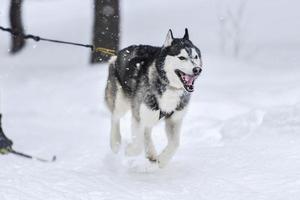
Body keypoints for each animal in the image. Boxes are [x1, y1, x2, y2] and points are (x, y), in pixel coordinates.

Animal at [104, 28, 203, 167]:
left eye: (195, 56)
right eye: (182, 57)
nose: (197, 69)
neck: (170, 88)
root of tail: (117, 54)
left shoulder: (175, 120)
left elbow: (175, 143)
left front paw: (163, 160)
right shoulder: (138, 115)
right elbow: (138, 145)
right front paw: (129, 151)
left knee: (146, 131)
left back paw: (151, 152)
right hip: (121, 102)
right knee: (115, 117)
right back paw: (115, 142)